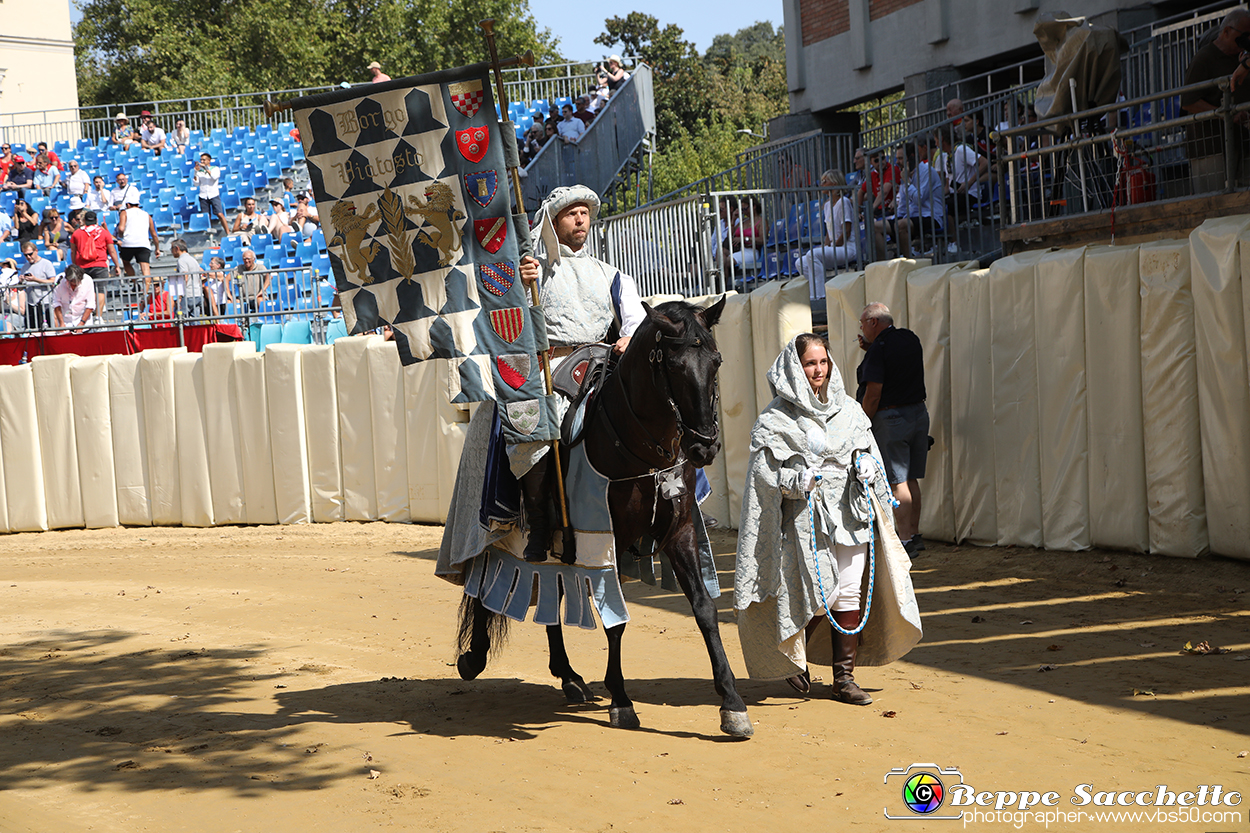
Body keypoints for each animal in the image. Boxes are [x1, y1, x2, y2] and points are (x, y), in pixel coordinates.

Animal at [460, 295, 750, 735]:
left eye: (716, 361)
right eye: (673, 365)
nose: (704, 447)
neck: (638, 447)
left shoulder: (679, 534)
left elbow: (703, 608)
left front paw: (732, 704)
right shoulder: (603, 541)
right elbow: (617, 619)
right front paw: (621, 699)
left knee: (551, 595)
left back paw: (568, 676)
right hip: (499, 532)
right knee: (481, 584)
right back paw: (474, 656)